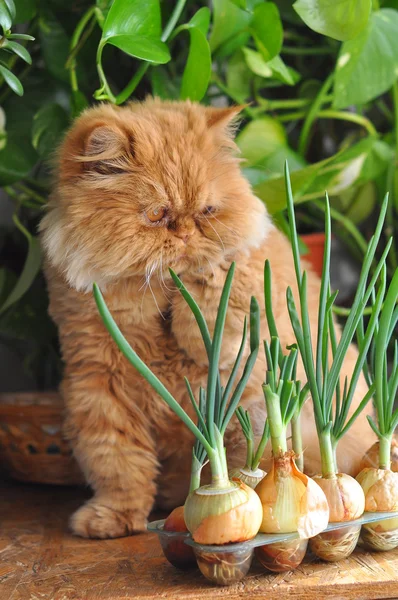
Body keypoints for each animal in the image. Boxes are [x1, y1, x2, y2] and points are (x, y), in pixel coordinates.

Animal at [40, 98, 374, 540]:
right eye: (156, 214)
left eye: (208, 211)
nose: (185, 233)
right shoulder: (98, 386)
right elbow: (118, 467)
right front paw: (112, 519)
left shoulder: (244, 296)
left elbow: (218, 278)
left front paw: (193, 306)